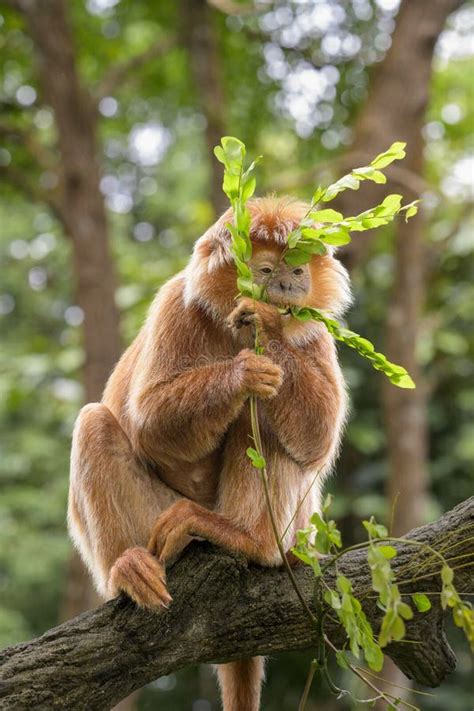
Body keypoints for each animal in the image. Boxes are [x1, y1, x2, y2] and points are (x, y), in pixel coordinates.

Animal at [67, 197, 352, 711]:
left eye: (298, 271)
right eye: (266, 269)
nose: (286, 288)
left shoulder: (311, 331)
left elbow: (317, 437)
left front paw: (267, 325)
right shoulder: (176, 303)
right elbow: (149, 420)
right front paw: (242, 371)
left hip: (290, 532)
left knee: (264, 417)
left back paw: (249, 539)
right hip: (156, 528)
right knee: (96, 422)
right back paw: (127, 568)